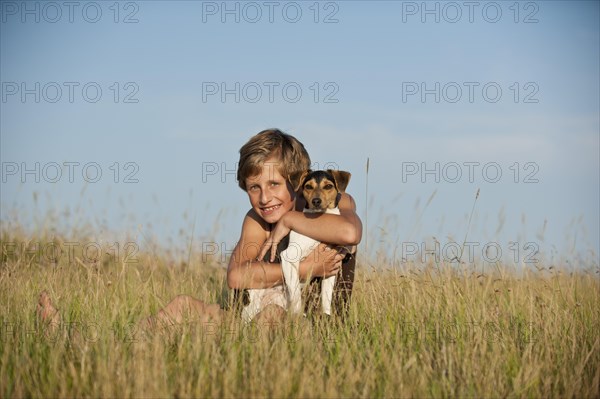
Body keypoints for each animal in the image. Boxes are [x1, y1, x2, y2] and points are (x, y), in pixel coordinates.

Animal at [282, 170, 352, 318]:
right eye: (308, 186)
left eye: (328, 186)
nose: (316, 201)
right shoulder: (289, 256)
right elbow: (295, 294)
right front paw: (298, 315)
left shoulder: (329, 267)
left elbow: (326, 297)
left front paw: (326, 316)